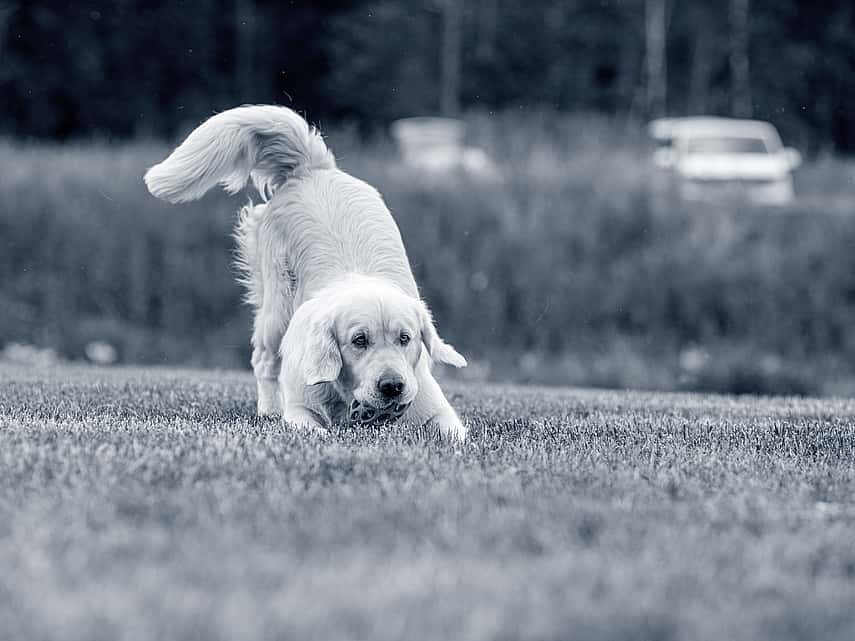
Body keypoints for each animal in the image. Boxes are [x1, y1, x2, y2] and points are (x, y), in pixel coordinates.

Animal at [146, 107, 468, 442]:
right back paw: (269, 409)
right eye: (359, 340)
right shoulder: (302, 405)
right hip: (276, 311)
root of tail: (311, 168)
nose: (392, 386)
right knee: (264, 361)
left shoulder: (435, 406)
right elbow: (312, 427)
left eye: (405, 338)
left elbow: (451, 431)